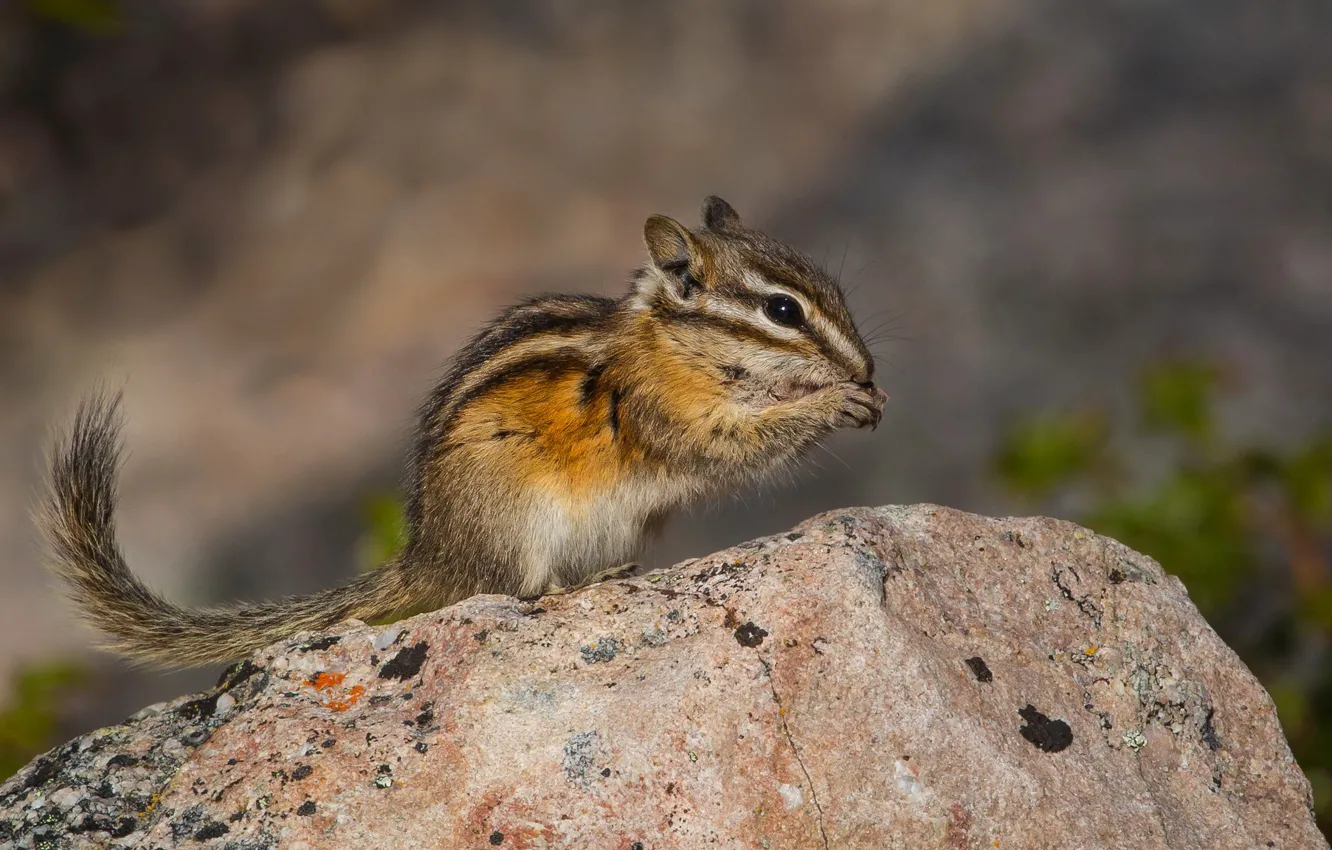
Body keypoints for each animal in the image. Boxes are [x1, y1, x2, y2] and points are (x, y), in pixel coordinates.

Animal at [40, 196, 887, 668]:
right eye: (783, 310)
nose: (868, 365)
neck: (674, 344)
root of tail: (429, 554)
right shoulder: (666, 412)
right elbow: (730, 444)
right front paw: (836, 403)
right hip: (517, 515)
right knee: (516, 591)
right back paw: (587, 583)